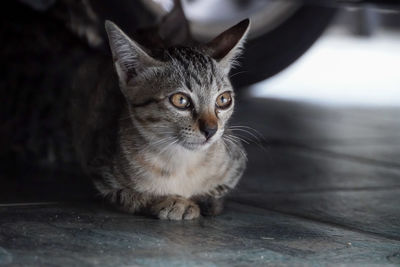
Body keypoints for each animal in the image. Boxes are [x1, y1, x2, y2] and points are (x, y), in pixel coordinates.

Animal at [70, 17, 248, 221]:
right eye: (181, 100)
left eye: (224, 100)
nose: (211, 130)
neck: (182, 161)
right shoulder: (100, 171)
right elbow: (129, 196)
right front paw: (175, 202)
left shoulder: (236, 162)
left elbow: (217, 192)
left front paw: (202, 200)